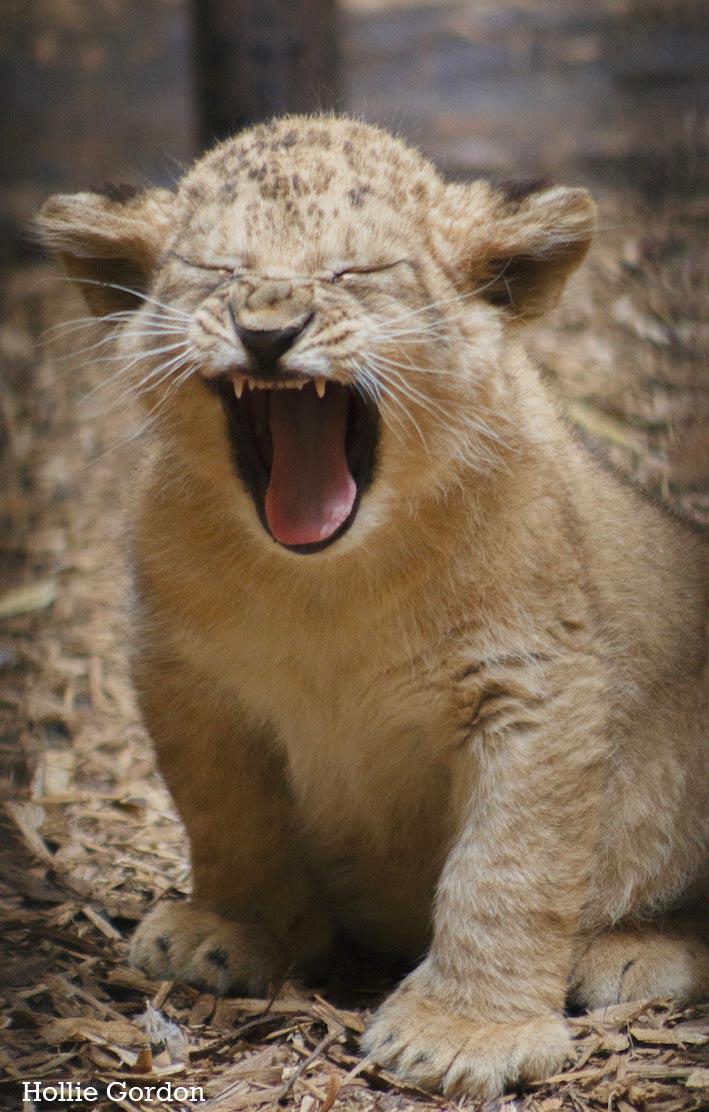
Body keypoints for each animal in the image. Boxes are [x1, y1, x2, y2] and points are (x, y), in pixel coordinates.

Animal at [37, 116, 708, 1100]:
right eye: (220, 271)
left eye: (355, 273)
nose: (267, 333)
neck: (327, 584)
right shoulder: (186, 681)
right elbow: (228, 817)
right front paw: (233, 930)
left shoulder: (534, 690)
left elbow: (508, 866)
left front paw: (465, 1032)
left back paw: (630, 954)